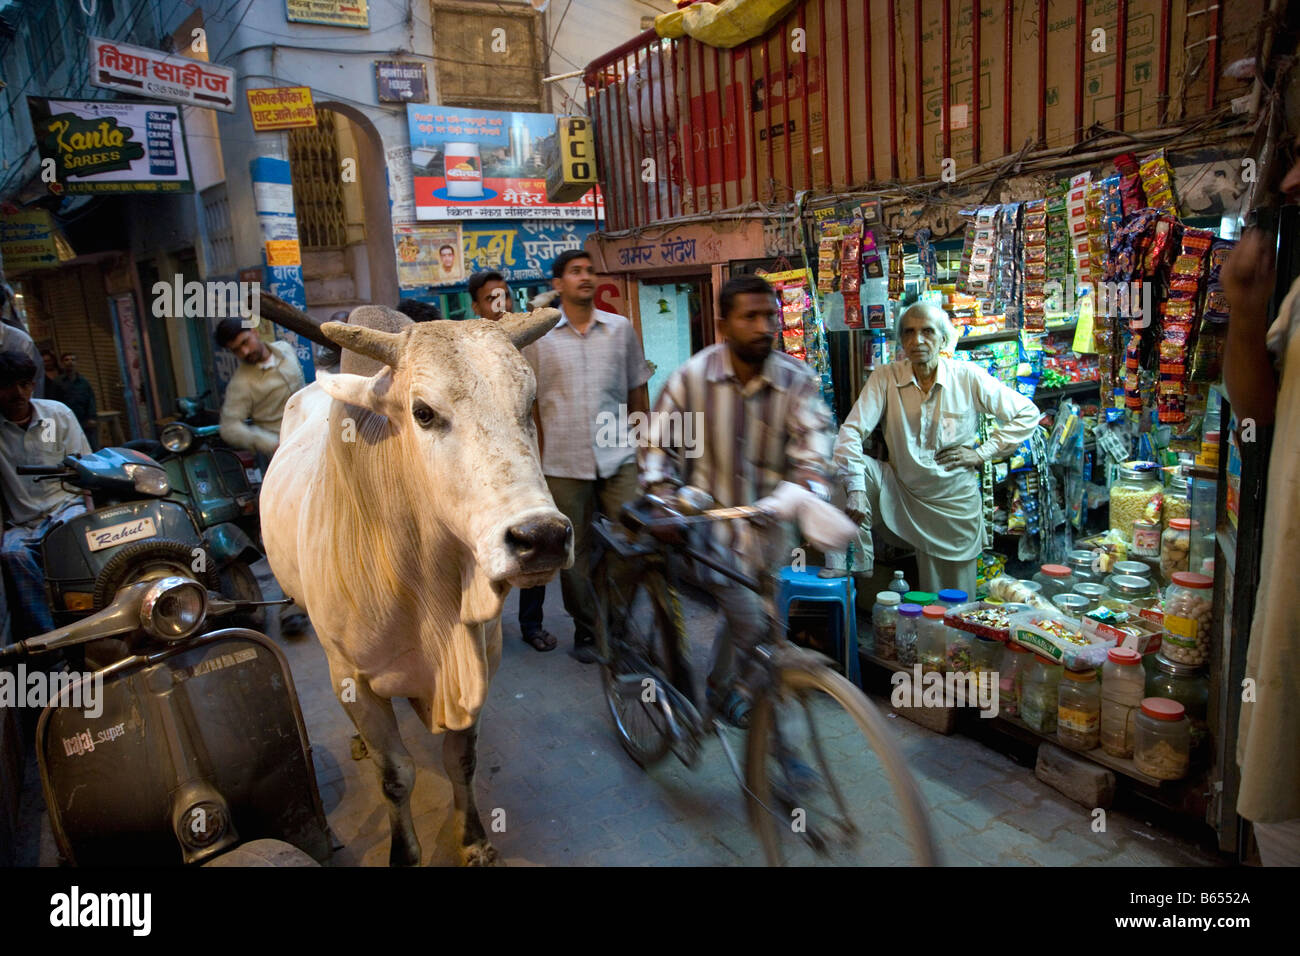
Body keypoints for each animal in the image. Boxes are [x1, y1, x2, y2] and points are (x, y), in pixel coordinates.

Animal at [261, 306, 572, 868]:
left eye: (529, 404)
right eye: (423, 413)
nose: (541, 537)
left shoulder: (478, 668)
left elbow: (462, 761)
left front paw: (473, 840)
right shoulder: (355, 680)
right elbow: (396, 776)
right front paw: (404, 853)